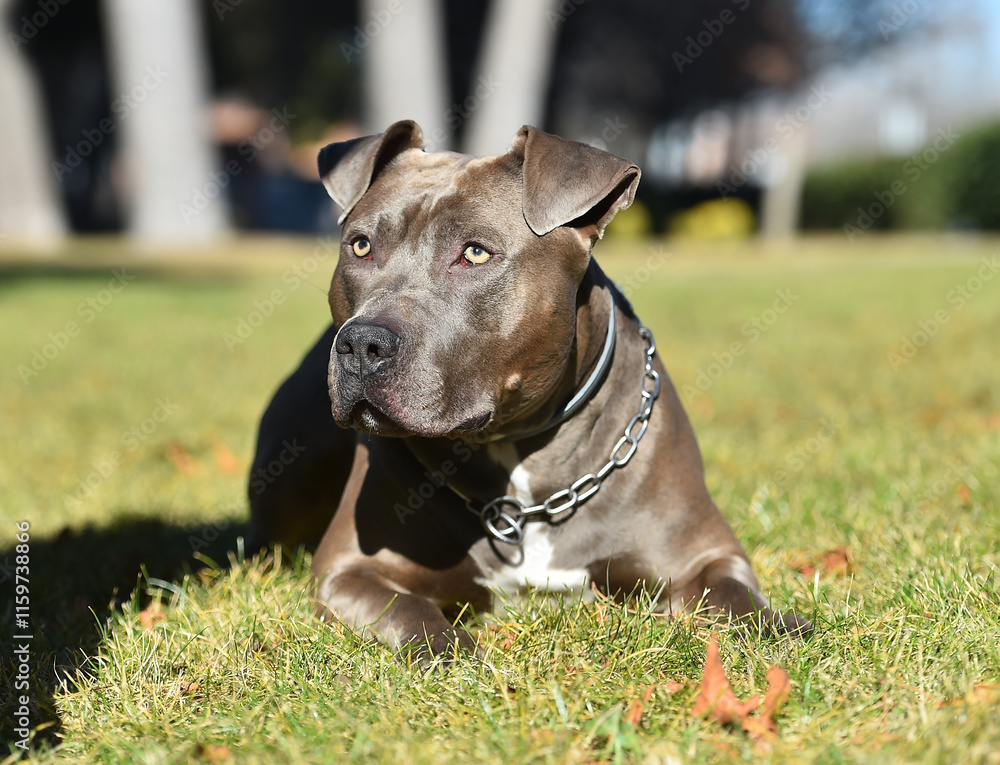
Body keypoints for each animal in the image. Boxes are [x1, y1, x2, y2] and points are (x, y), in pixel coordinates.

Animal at [248, 120, 811, 658]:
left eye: (475, 253)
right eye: (361, 246)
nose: (361, 342)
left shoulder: (704, 556)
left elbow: (738, 597)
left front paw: (783, 628)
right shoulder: (348, 570)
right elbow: (408, 609)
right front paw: (449, 650)